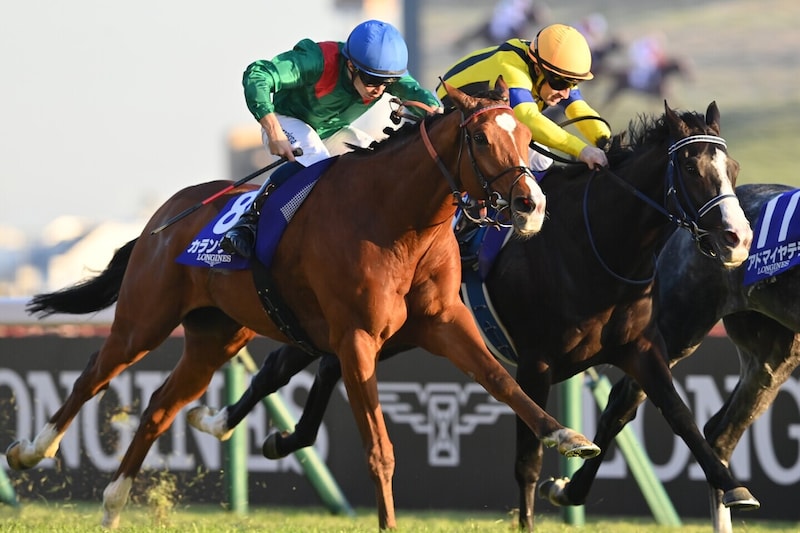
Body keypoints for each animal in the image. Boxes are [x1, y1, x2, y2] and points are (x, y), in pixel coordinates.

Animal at [5, 78, 605, 530]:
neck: (396, 219)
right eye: (480, 138)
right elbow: (379, 448)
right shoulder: (355, 340)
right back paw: (31, 452)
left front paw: (568, 436)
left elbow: (503, 383)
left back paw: (113, 502)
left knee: (158, 405)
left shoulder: (444, 322)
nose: (531, 205)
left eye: (525, 133)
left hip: (215, 336)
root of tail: (165, 215)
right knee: (94, 376)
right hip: (145, 318)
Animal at [187, 101, 758, 530]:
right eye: (691, 169)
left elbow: (673, 414)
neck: (592, 244)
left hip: (392, 332)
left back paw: (280, 436)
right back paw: (216, 421)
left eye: (731, 172)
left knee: (325, 367)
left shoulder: (640, 348)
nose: (738, 239)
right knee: (279, 367)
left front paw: (732, 488)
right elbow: (528, 461)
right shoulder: (537, 363)